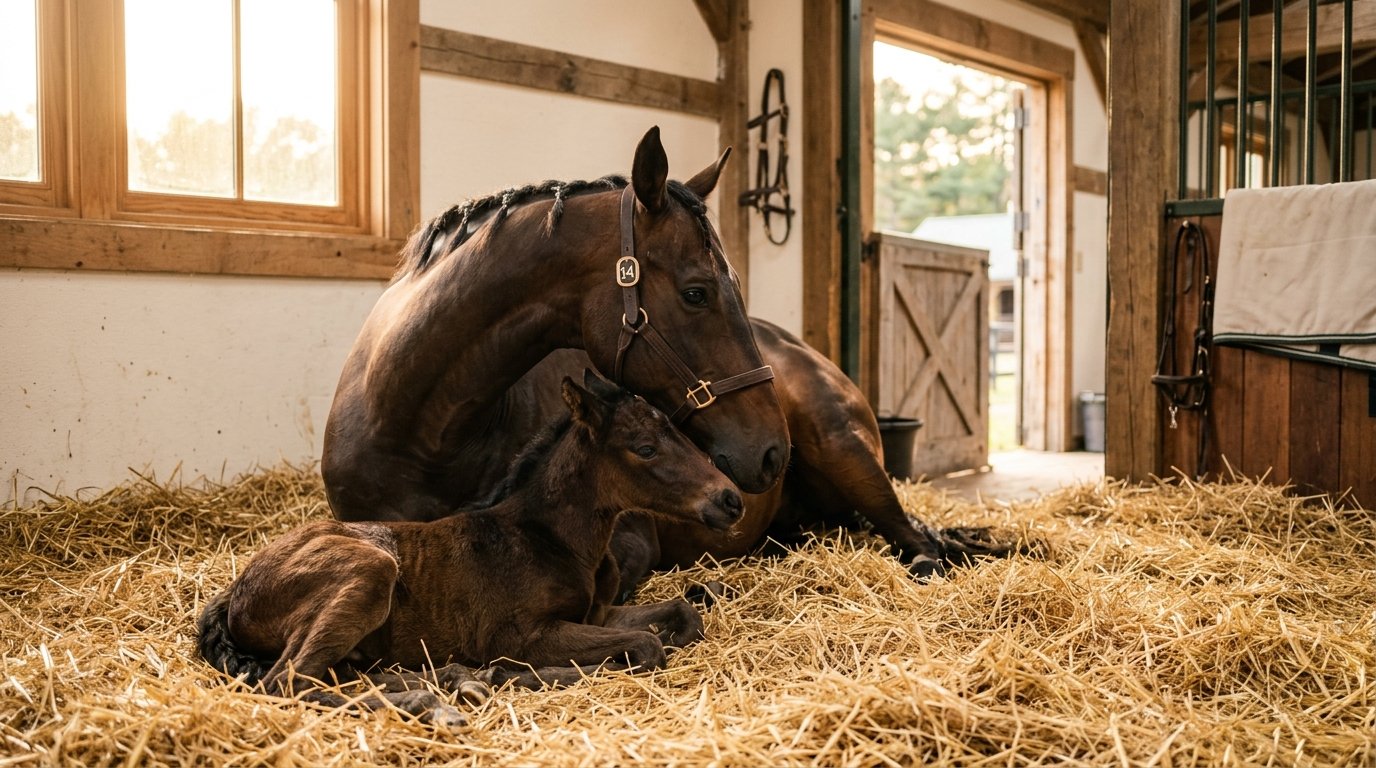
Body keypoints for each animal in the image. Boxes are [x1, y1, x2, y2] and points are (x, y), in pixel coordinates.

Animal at [199, 373, 736, 726]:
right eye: (645, 448)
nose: (729, 499)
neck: (550, 539)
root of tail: (235, 592)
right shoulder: (524, 634)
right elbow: (645, 646)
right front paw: (506, 673)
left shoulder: (596, 615)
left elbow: (683, 615)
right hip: (370, 570)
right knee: (290, 682)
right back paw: (437, 703)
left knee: (338, 675)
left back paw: (455, 682)